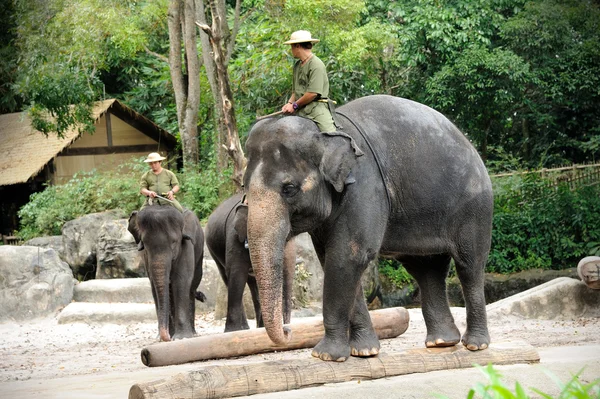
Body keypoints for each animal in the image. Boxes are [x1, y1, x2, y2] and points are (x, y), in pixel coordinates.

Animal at [127, 206, 205, 344]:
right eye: (145, 245)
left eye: (174, 243)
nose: (167, 337)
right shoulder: (146, 257)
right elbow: (154, 285)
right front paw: (164, 337)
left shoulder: (186, 246)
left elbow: (181, 280)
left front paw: (181, 337)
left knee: (191, 287)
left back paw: (192, 334)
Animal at [204, 193, 296, 332]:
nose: (287, 330)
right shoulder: (234, 236)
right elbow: (237, 273)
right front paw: (233, 331)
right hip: (212, 248)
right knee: (227, 277)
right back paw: (243, 329)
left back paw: (258, 327)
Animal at [241, 96, 494, 362]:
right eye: (244, 187)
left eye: (289, 189)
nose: (288, 330)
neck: (323, 134)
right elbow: (331, 259)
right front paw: (364, 351)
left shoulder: (364, 185)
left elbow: (348, 256)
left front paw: (326, 355)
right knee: (426, 269)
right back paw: (441, 342)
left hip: (475, 208)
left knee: (469, 265)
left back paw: (475, 345)